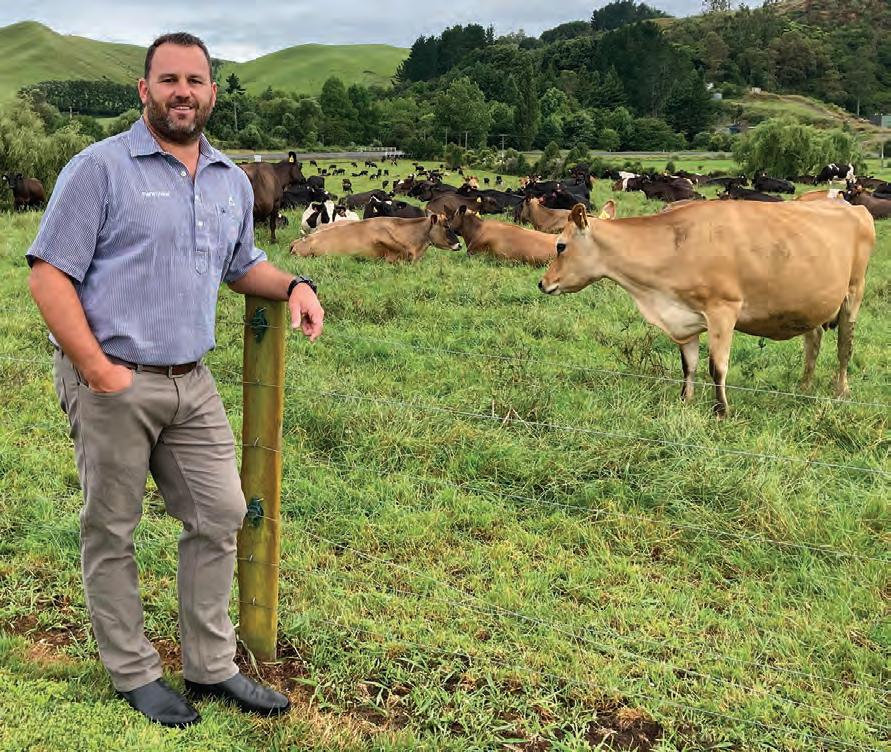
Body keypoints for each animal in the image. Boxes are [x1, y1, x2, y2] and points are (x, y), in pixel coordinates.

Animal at [538, 201, 875, 417]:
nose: (542, 283)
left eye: (560, 245)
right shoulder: (685, 318)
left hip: (853, 294)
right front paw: (685, 401)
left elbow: (717, 367)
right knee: (813, 341)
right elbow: (689, 365)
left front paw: (721, 409)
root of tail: (854, 207)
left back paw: (841, 391)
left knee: (845, 347)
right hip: (812, 305)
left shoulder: (723, 310)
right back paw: (804, 386)